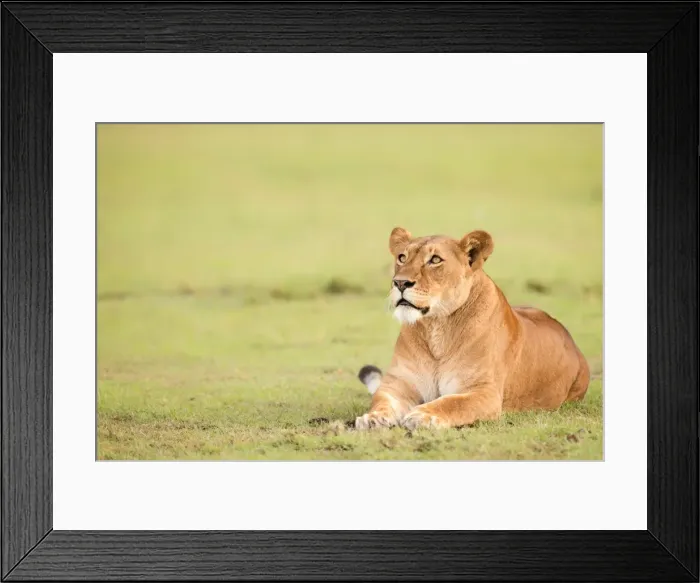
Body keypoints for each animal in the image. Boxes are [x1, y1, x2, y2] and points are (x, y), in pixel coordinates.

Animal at [355, 227, 590, 431]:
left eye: (435, 260)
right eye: (402, 257)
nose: (400, 283)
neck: (436, 327)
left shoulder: (485, 393)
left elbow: (452, 403)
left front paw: (423, 415)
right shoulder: (397, 384)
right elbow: (381, 400)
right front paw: (372, 418)